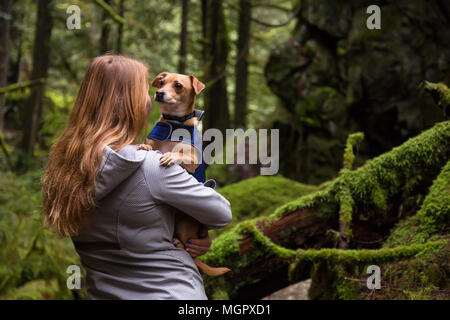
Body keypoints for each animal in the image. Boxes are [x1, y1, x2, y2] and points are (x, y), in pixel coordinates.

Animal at [138, 71, 230, 276]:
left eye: (178, 85)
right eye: (162, 82)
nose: (159, 93)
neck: (174, 123)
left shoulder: (193, 160)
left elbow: (178, 154)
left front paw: (169, 156)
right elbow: (150, 145)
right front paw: (145, 146)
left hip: (185, 223)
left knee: (190, 252)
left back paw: (180, 244)